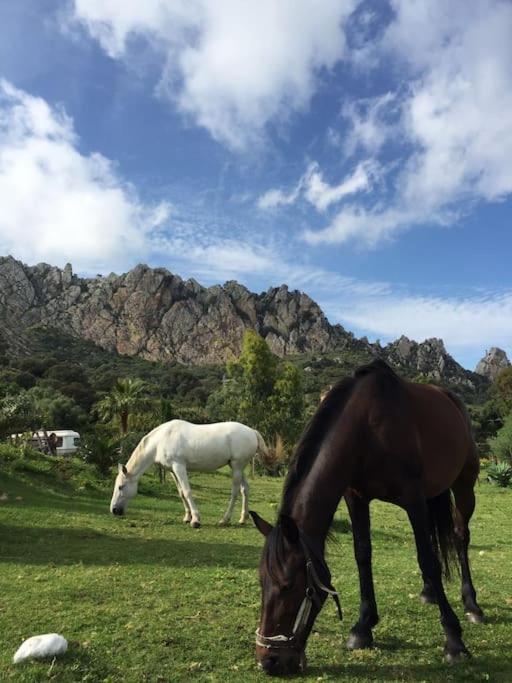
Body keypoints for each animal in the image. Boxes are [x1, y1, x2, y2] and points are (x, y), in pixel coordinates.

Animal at [110, 419, 268, 527]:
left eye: (120, 487)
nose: (114, 510)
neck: (160, 440)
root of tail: (252, 431)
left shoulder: (179, 466)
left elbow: (187, 491)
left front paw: (196, 520)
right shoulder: (172, 471)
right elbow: (181, 493)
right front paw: (187, 517)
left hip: (236, 466)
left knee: (234, 492)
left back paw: (224, 519)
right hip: (238, 467)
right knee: (245, 489)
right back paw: (243, 519)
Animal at [250, 360, 484, 676]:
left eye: (288, 586)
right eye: (262, 582)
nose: (268, 661)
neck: (367, 429)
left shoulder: (413, 498)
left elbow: (428, 560)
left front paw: (454, 640)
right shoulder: (356, 497)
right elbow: (363, 554)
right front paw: (363, 627)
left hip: (464, 485)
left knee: (460, 537)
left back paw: (472, 605)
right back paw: (429, 593)